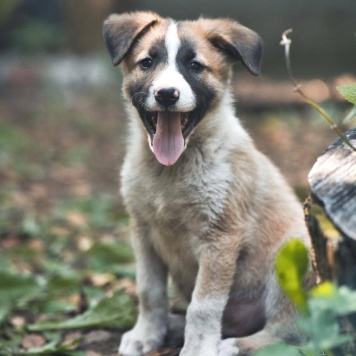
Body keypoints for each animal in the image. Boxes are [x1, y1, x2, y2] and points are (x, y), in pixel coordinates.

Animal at [102, 11, 308, 356]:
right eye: (147, 63)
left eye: (195, 66)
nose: (166, 94)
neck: (171, 172)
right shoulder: (143, 232)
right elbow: (149, 291)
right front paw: (147, 333)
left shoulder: (219, 239)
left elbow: (203, 306)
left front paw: (197, 348)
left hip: (292, 253)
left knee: (290, 330)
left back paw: (235, 344)